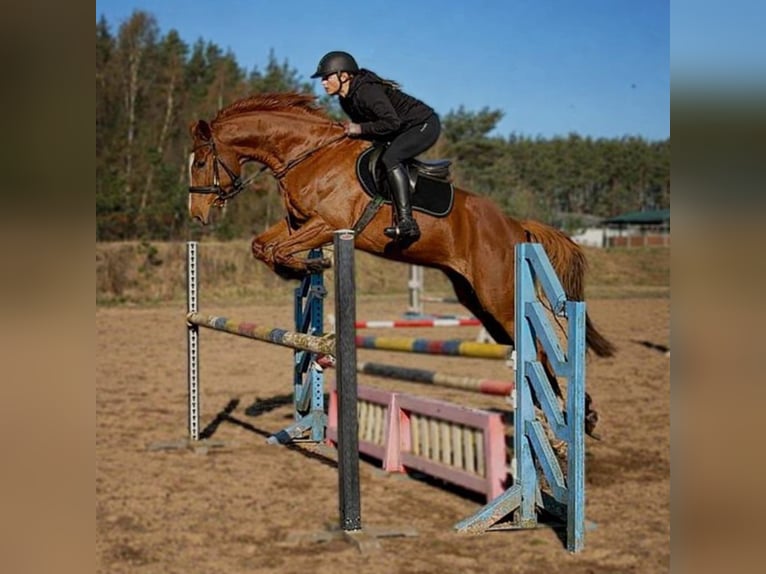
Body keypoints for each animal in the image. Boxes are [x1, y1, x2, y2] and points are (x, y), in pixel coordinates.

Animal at [187, 92, 615, 437]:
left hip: (500, 296)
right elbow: (262, 246)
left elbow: (278, 250)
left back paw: (575, 416)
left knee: (540, 347)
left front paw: (306, 267)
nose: (197, 214)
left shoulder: (328, 224)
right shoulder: (298, 224)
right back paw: (573, 414)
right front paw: (300, 269)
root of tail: (514, 224)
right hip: (479, 301)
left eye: (202, 161)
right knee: (529, 349)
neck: (307, 154)